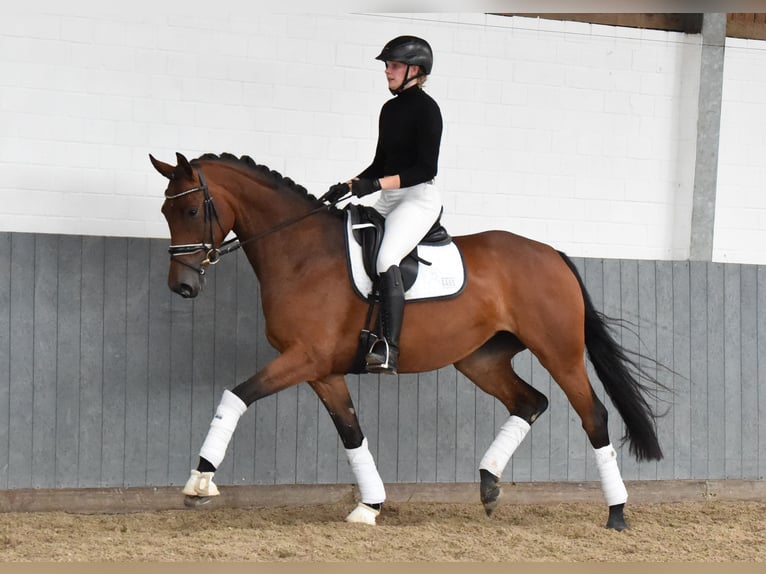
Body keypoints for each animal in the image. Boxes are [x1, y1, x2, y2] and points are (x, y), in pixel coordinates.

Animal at [152, 152, 664, 532]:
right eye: (164, 211)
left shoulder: (303, 358)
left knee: (593, 416)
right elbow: (352, 432)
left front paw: (199, 482)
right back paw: (489, 486)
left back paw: (617, 513)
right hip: (481, 359)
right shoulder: (322, 370)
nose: (182, 286)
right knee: (530, 401)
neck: (301, 252)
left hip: (559, 352)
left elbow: (235, 396)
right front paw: (369, 507)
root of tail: (552, 253)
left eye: (191, 210)